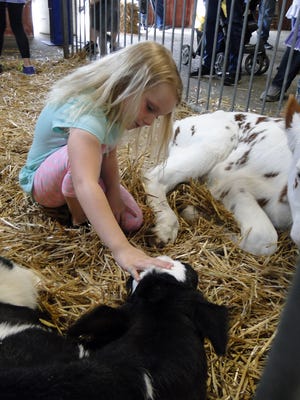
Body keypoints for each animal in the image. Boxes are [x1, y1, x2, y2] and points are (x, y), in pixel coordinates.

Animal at [144, 109, 292, 255]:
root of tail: (181, 122)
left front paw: (193, 211)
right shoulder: (227, 180)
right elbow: (264, 239)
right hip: (218, 141)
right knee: (154, 176)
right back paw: (165, 230)